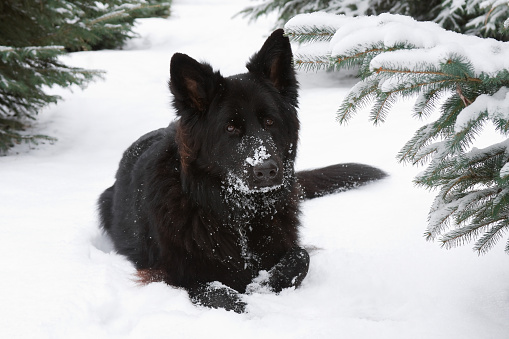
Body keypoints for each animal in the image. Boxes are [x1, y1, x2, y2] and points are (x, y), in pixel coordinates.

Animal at [98, 29, 384, 314]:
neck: (238, 212)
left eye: (269, 121)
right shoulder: (174, 274)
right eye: (230, 128)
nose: (266, 171)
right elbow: (217, 293)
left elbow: (301, 257)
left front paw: (264, 285)